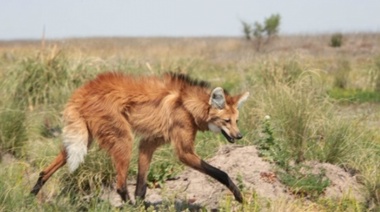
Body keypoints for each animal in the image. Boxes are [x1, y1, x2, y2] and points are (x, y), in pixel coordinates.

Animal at [31, 72, 251, 203]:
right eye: (226, 121)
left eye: (237, 120)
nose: (239, 136)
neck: (188, 105)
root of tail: (82, 91)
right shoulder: (184, 151)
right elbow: (221, 173)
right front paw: (239, 195)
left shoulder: (149, 143)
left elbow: (141, 186)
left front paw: (141, 204)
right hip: (122, 139)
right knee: (120, 186)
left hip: (86, 137)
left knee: (46, 169)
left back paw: (31, 195)